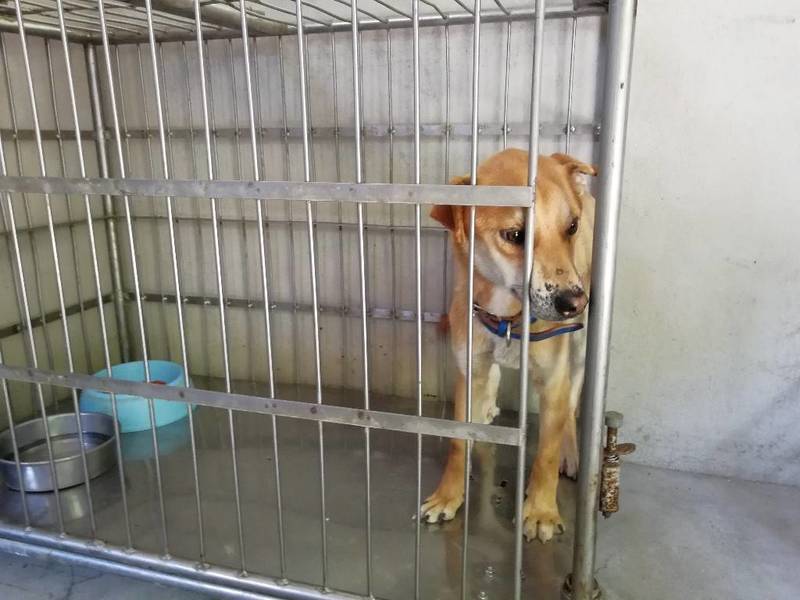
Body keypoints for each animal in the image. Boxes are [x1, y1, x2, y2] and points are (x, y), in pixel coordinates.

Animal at [422, 148, 596, 543]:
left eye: (572, 227)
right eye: (515, 234)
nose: (574, 303)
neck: (508, 321)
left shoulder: (553, 380)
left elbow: (545, 451)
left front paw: (542, 511)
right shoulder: (469, 367)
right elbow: (457, 440)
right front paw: (448, 495)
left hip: (579, 349)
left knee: (572, 405)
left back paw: (570, 451)